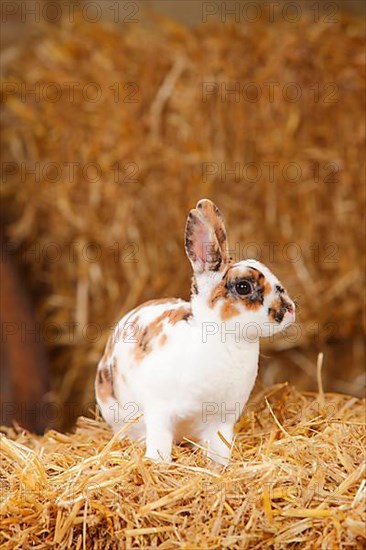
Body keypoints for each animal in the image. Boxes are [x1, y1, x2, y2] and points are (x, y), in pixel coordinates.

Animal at [95, 198, 294, 466]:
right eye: (243, 286)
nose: (290, 310)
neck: (224, 340)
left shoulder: (221, 422)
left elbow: (219, 450)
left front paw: (219, 468)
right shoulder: (159, 413)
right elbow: (159, 444)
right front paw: (158, 464)